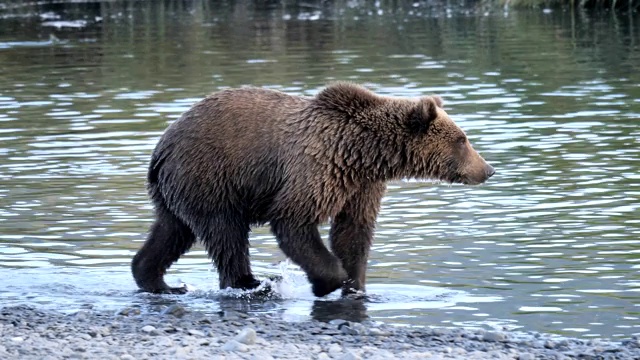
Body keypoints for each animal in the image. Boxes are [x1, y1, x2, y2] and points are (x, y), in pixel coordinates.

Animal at [131, 83, 496, 296]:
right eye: (462, 139)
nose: (488, 169)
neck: (363, 152)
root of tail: (160, 148)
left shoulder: (361, 186)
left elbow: (354, 232)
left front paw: (356, 284)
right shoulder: (316, 168)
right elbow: (294, 222)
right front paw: (327, 281)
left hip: (179, 190)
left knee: (173, 231)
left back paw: (159, 281)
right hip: (211, 177)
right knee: (226, 233)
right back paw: (251, 283)